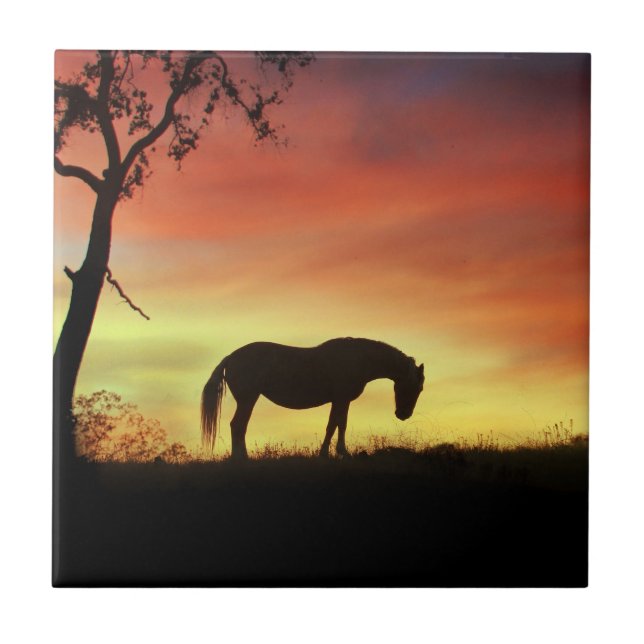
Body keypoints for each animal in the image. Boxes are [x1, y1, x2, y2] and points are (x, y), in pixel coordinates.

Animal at [201, 337, 425, 459]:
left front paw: (327, 453)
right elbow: (339, 424)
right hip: (248, 399)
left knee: (239, 426)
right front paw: (341, 452)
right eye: (416, 387)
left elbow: (334, 425)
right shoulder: (342, 399)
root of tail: (230, 357)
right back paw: (241, 459)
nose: (403, 414)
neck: (358, 359)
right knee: (238, 425)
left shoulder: (339, 400)